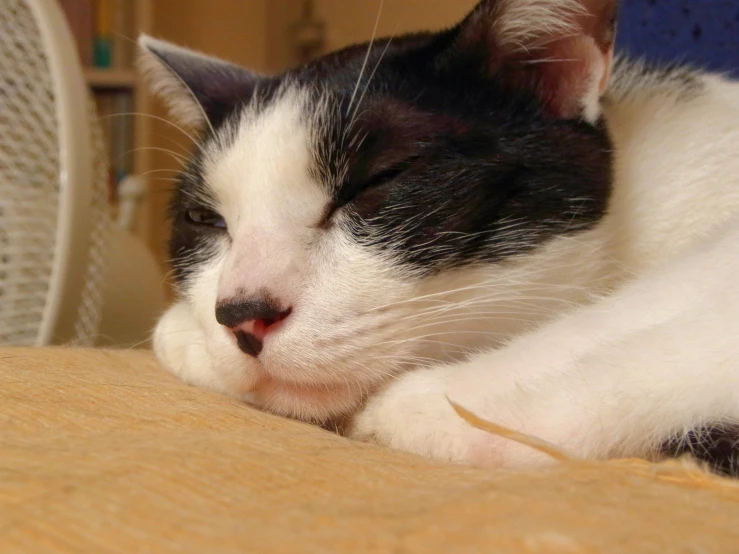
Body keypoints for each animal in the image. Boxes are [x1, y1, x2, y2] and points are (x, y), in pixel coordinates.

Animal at [139, 0, 739, 474]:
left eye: (377, 181)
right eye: (204, 219)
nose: (242, 313)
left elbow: (649, 312)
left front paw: (449, 404)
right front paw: (188, 334)